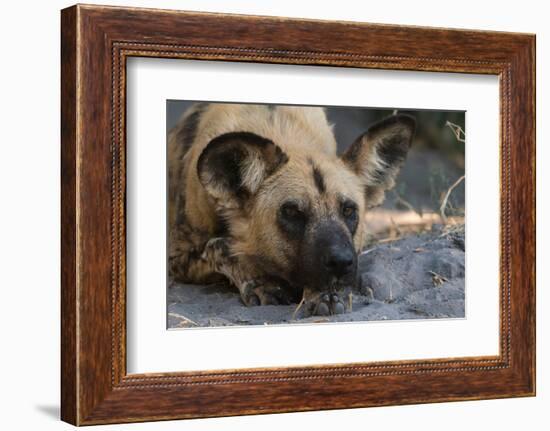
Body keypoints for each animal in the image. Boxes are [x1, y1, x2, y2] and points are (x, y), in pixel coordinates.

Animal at [170, 103, 416, 316]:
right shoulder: (178, 257)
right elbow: (220, 247)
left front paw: (322, 295)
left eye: (348, 210)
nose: (340, 262)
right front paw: (262, 283)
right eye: (292, 213)